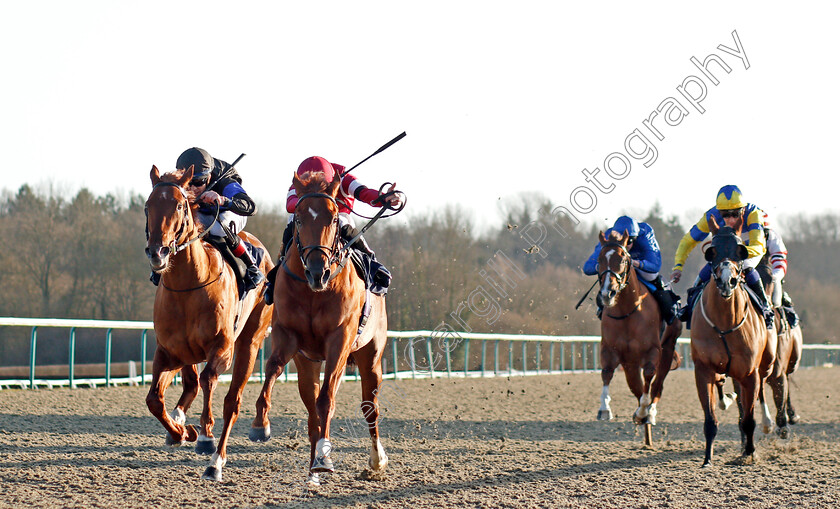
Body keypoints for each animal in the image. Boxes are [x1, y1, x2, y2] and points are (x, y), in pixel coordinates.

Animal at [144, 164, 272, 480]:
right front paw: (180, 431)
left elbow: (208, 381)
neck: (189, 285)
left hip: (250, 341)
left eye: (179, 205)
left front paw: (203, 435)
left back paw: (217, 460)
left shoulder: (222, 349)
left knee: (232, 401)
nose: (157, 252)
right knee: (190, 385)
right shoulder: (168, 351)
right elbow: (155, 399)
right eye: (148, 206)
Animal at [249, 171, 390, 484]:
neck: (313, 292)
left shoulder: (339, 340)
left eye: (334, 218)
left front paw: (325, 459)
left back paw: (375, 460)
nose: (318, 272)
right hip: (309, 364)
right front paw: (260, 423)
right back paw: (314, 463)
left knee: (369, 407)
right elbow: (273, 369)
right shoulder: (288, 337)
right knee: (313, 409)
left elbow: (327, 400)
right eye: (299, 219)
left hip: (371, 356)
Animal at [596, 228, 684, 442]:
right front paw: (604, 409)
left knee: (657, 385)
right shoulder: (611, 349)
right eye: (599, 259)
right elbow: (607, 373)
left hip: (668, 347)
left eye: (622, 259)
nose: (607, 293)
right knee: (636, 387)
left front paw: (644, 412)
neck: (627, 312)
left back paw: (649, 414)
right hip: (630, 362)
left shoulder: (653, 351)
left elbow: (649, 379)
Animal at [688, 216, 776, 466]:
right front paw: (707, 459)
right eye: (712, 252)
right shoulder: (703, 370)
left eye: (740, 250)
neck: (725, 324)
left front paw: (750, 453)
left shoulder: (749, 373)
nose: (728, 281)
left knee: (761, 391)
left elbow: (749, 419)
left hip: (764, 364)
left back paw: (763, 426)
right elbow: (710, 420)